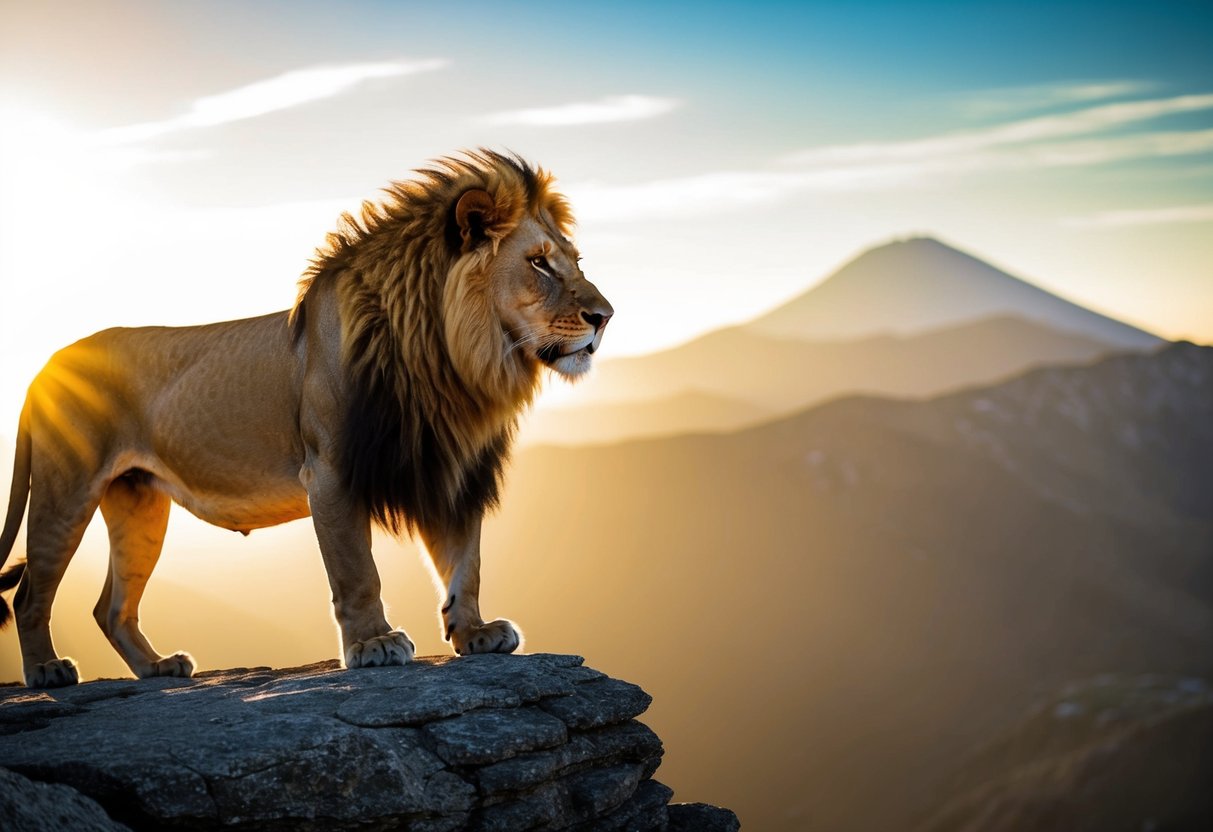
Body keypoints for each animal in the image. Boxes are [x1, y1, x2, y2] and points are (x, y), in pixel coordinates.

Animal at [0, 150, 612, 688]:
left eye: (576, 263)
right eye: (538, 263)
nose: (605, 316)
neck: (448, 361)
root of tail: (43, 369)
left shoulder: (446, 466)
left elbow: (467, 561)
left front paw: (476, 633)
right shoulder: (332, 472)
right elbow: (357, 569)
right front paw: (374, 644)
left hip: (139, 503)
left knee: (111, 606)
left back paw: (157, 667)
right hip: (66, 489)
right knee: (30, 593)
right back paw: (47, 672)